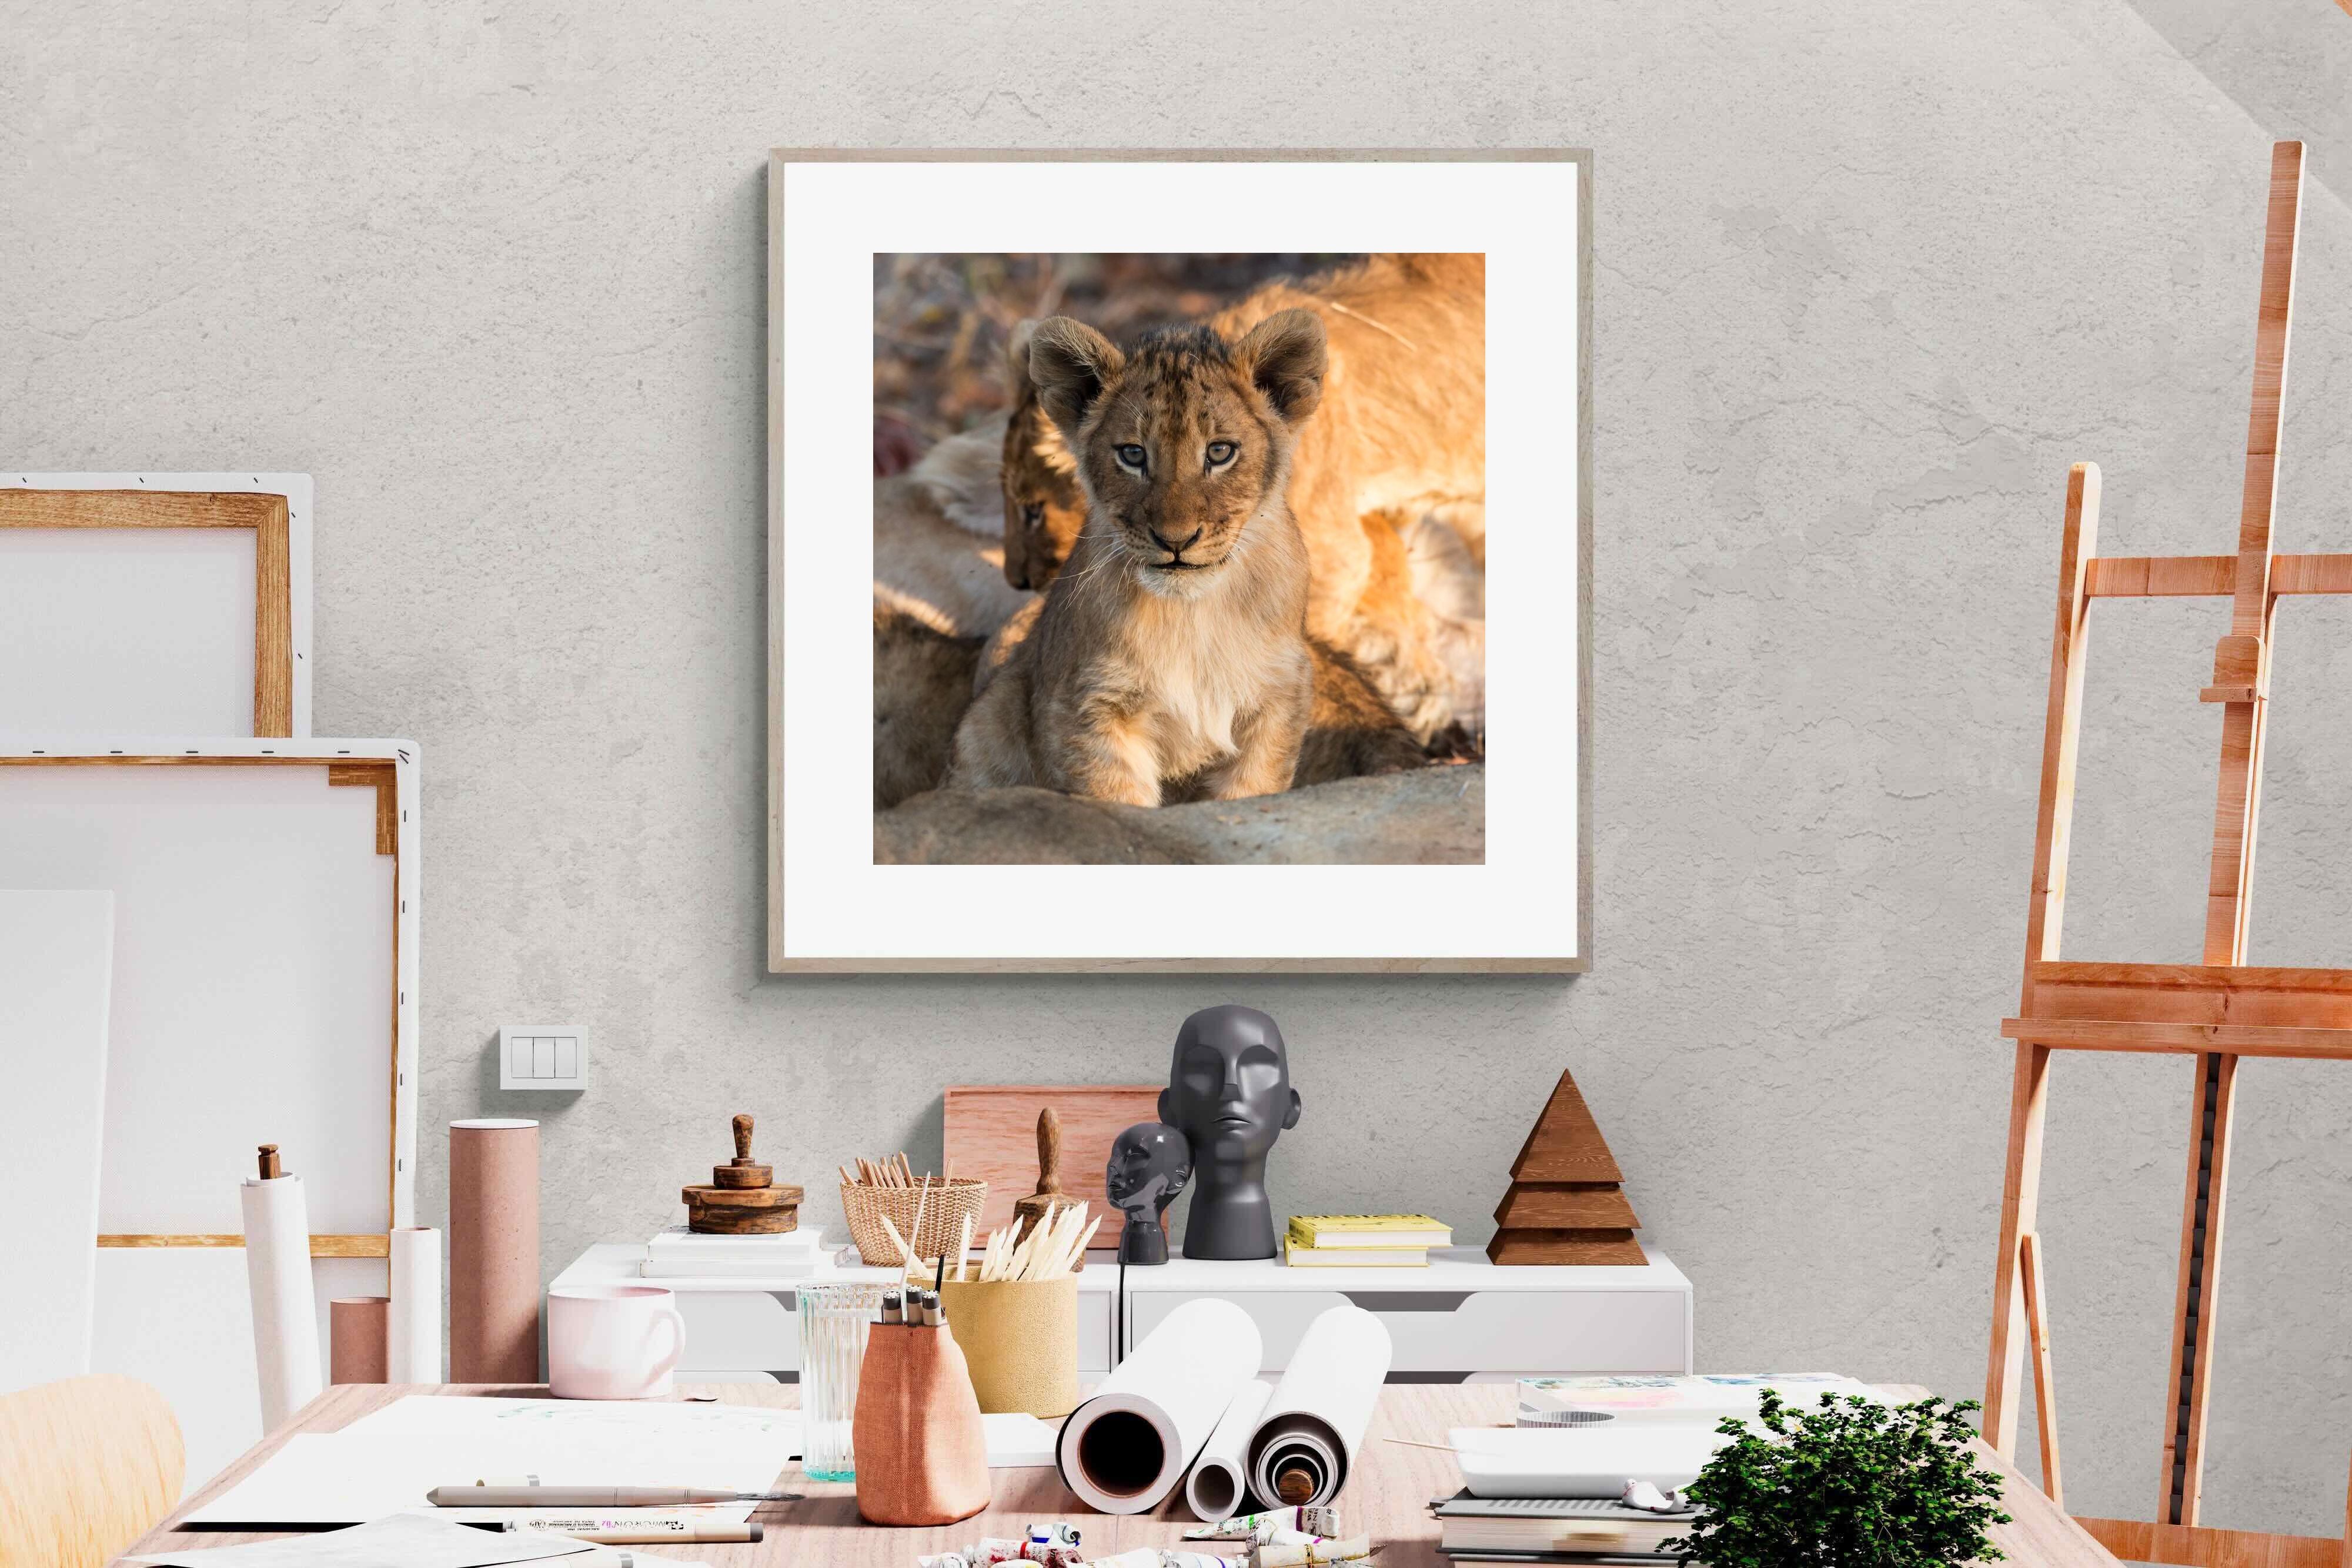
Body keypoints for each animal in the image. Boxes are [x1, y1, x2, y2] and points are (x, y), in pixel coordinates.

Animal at [946, 310, 1330, 806]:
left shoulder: (1277, 698)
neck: (1192, 616)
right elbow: (1116, 801)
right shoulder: (1090, 706)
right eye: (1133, 454)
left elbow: (1250, 792)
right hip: (991, 717)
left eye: (1220, 452)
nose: (1176, 540)